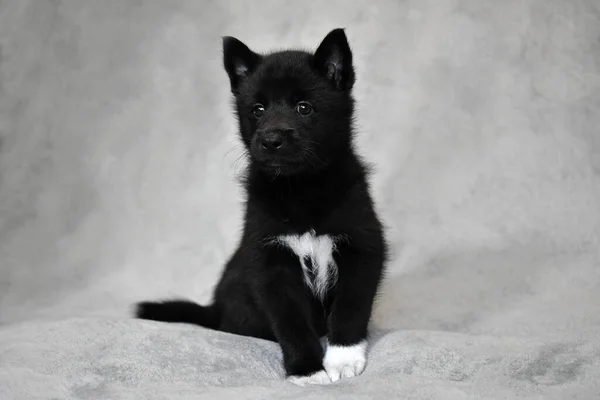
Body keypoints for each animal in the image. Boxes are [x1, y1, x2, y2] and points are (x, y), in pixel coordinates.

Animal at [137, 27, 386, 384]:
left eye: (304, 107)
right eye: (257, 109)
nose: (271, 140)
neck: (300, 189)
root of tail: (215, 309)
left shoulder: (362, 248)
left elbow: (351, 307)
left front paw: (343, 359)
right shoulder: (271, 265)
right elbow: (291, 323)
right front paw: (307, 370)